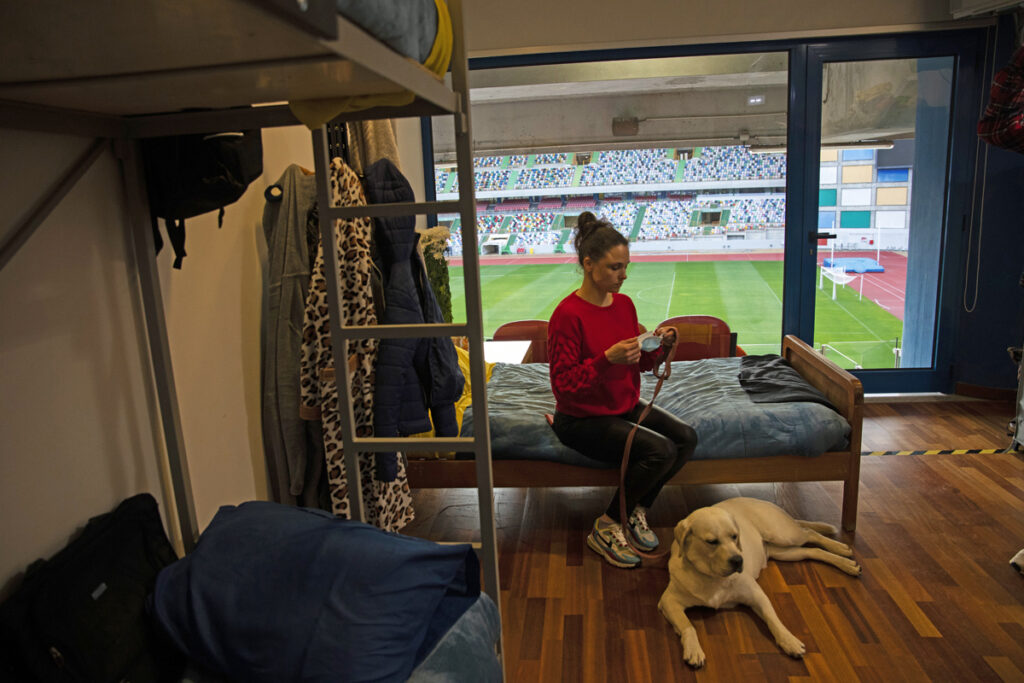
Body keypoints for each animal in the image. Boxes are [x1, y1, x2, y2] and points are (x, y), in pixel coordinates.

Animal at [659, 497, 860, 667]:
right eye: (712, 541)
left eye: (734, 536)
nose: (738, 560)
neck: (713, 578)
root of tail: (762, 500)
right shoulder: (668, 601)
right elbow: (688, 626)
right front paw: (693, 649)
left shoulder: (756, 595)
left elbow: (772, 618)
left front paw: (789, 640)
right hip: (785, 552)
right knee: (812, 551)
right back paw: (847, 563)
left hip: (783, 535)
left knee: (810, 533)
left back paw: (841, 549)